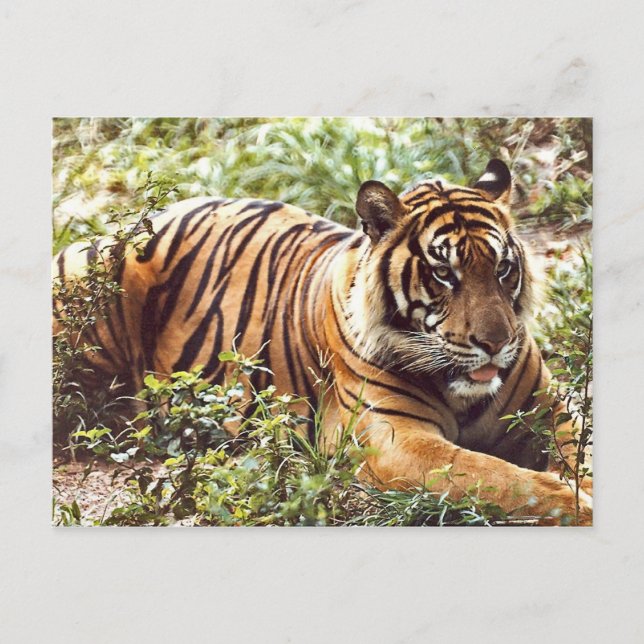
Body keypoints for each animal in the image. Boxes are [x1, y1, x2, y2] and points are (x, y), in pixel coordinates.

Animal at [53, 159, 592, 524]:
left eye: (502, 268)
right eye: (444, 273)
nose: (496, 343)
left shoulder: (552, 405)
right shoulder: (392, 440)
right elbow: (499, 479)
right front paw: (581, 505)